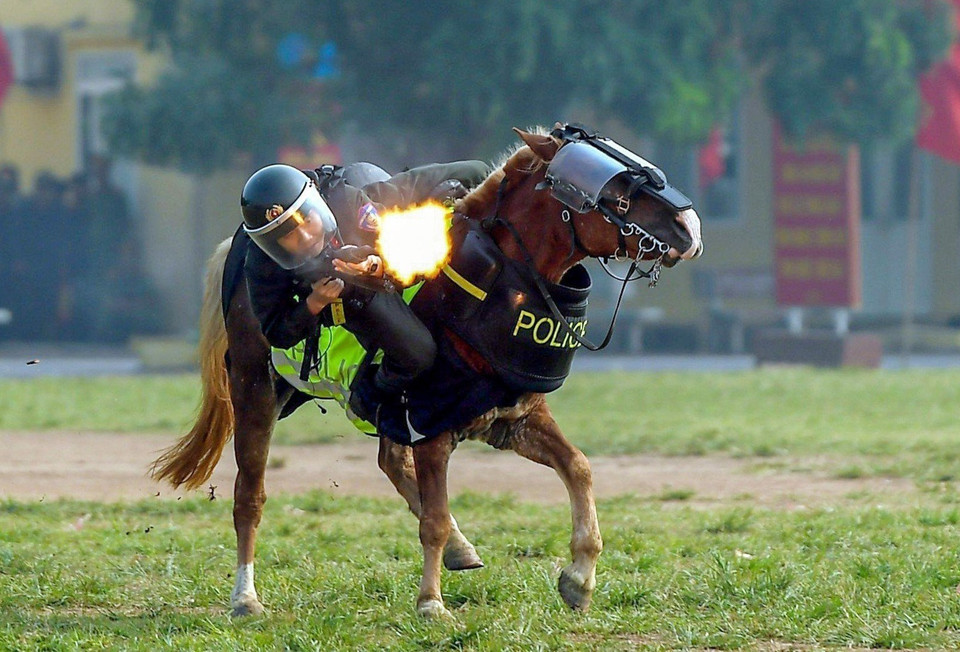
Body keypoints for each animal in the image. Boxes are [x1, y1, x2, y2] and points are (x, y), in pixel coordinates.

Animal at [150, 124, 703, 619]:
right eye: (616, 190)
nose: (691, 229)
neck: (488, 284)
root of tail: (237, 249)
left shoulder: (512, 418)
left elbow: (580, 468)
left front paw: (580, 578)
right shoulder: (431, 425)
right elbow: (432, 517)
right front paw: (431, 602)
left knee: (388, 458)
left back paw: (461, 545)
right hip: (254, 388)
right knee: (250, 495)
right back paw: (245, 597)